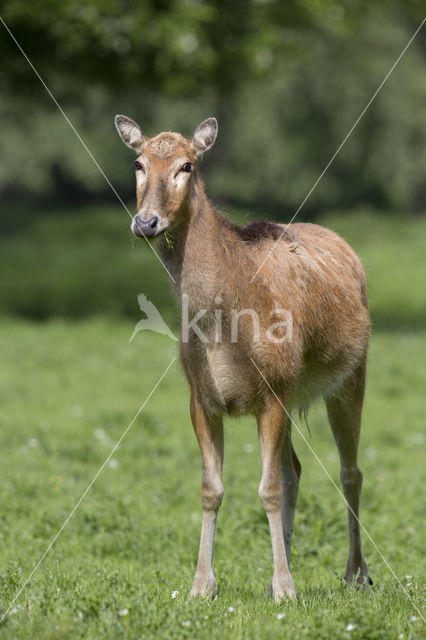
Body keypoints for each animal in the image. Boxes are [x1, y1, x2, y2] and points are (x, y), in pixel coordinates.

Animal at [115, 114, 372, 600]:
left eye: (187, 166)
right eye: (138, 164)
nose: (146, 222)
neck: (222, 326)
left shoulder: (271, 393)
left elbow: (267, 489)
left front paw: (287, 589)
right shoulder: (201, 398)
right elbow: (211, 488)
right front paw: (202, 585)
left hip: (351, 376)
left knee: (350, 472)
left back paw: (356, 574)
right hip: (293, 395)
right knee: (295, 469)